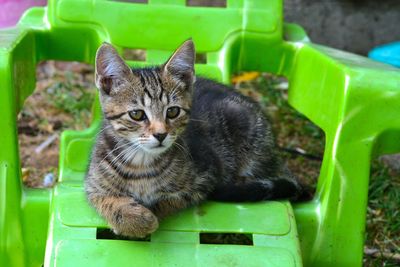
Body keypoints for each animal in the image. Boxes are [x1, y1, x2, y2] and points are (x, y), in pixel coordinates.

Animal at [85, 39, 304, 239]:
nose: (161, 134)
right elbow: (104, 200)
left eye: (172, 112)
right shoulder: (92, 184)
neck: (141, 164)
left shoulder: (205, 179)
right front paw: (133, 219)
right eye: (137, 114)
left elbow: (169, 201)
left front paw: (148, 215)